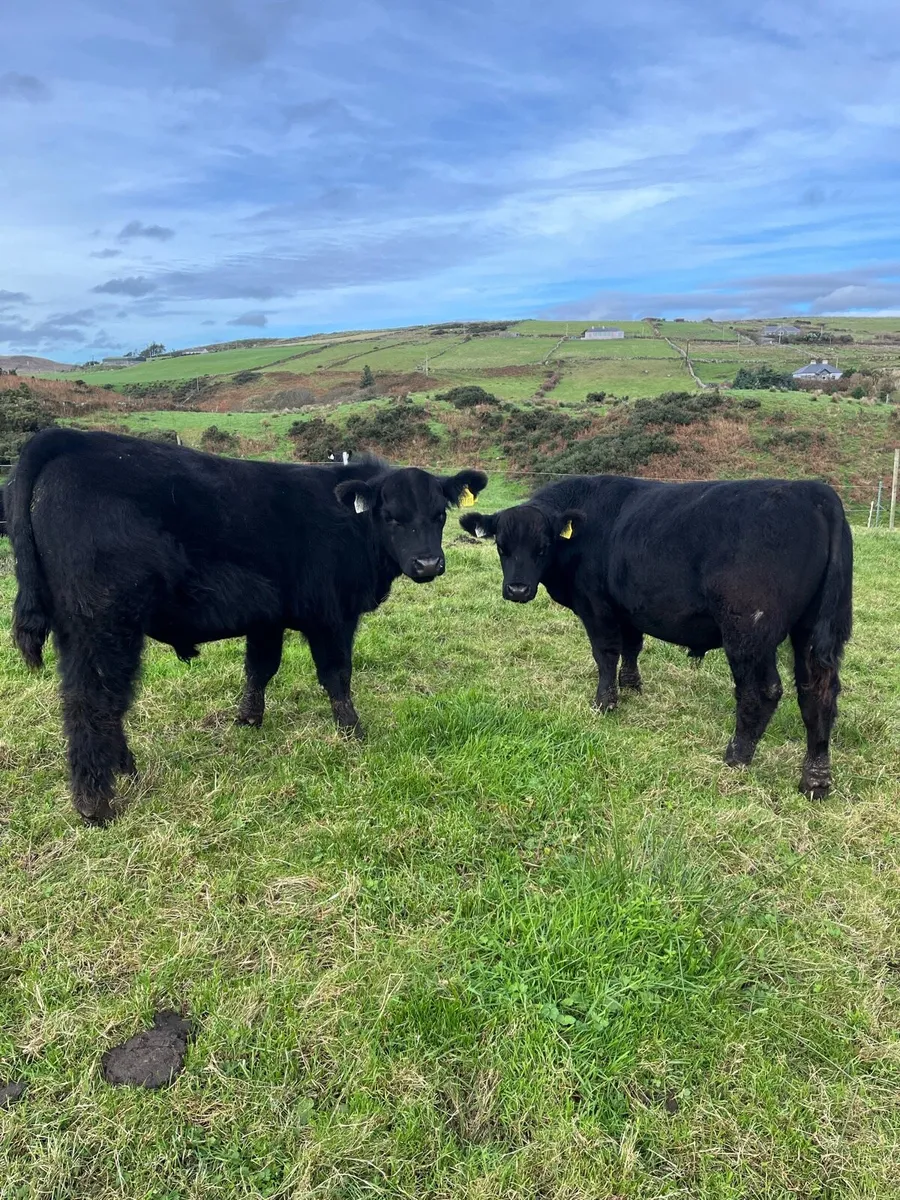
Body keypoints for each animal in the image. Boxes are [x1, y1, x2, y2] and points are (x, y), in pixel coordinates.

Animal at [6, 428, 487, 824]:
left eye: (440, 514)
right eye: (391, 516)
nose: (428, 564)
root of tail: (73, 440)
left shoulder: (266, 616)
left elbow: (260, 668)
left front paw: (248, 719)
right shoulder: (332, 615)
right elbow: (336, 675)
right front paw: (352, 731)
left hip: (80, 628)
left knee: (102, 702)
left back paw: (125, 770)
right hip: (103, 622)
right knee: (92, 702)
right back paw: (97, 804)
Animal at [461, 475, 852, 798]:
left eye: (542, 546)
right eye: (501, 546)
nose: (517, 589)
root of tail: (814, 491)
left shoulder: (597, 607)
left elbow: (606, 653)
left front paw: (605, 703)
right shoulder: (629, 608)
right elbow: (632, 646)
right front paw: (632, 684)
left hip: (748, 631)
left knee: (761, 691)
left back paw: (736, 756)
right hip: (811, 630)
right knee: (817, 692)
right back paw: (815, 779)